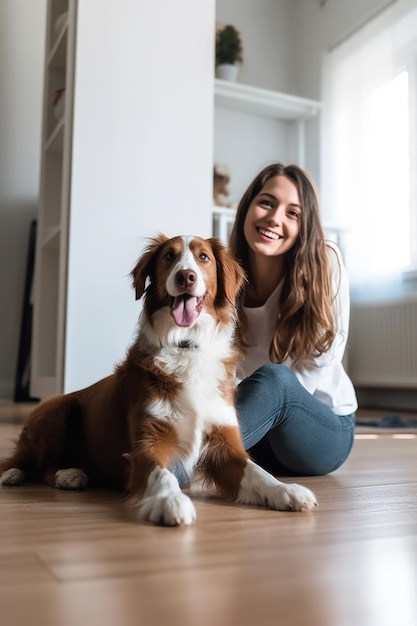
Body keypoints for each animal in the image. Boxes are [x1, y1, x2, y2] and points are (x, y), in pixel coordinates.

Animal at [0, 234, 316, 520]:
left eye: (203, 257)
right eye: (168, 256)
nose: (186, 276)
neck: (185, 345)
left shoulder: (224, 445)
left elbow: (258, 472)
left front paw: (286, 491)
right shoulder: (146, 444)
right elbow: (162, 474)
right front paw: (170, 501)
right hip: (57, 408)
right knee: (32, 463)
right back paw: (42, 474)